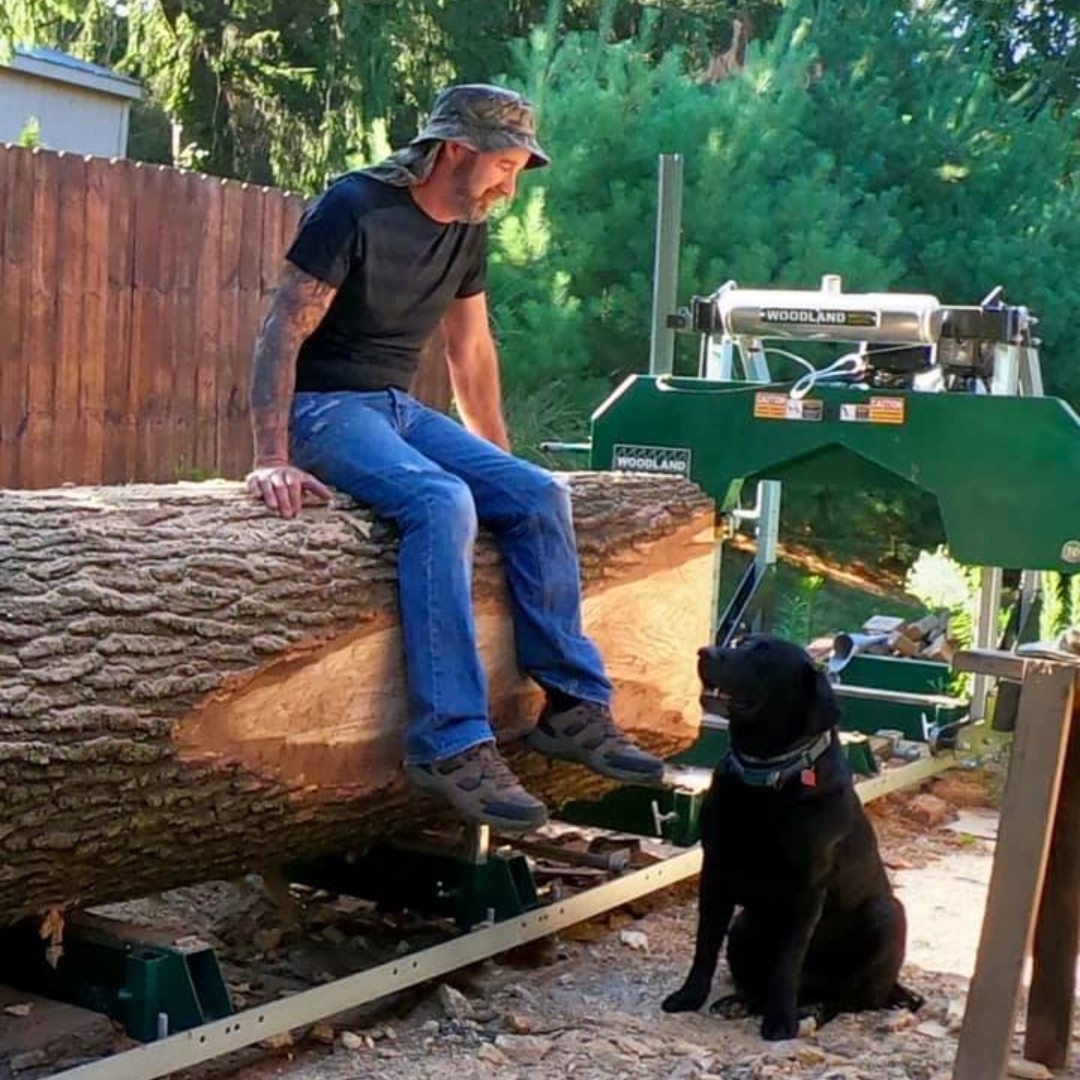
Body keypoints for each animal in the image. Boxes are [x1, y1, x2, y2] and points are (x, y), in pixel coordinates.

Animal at [662, 634, 922, 1040]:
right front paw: (690, 996)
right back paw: (742, 1002)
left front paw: (780, 1021)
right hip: (744, 926)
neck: (766, 776)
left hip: (887, 916)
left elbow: (787, 961)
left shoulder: (806, 891)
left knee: (846, 999)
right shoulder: (716, 872)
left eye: (763, 654)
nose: (704, 652)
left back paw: (810, 1009)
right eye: (741, 642)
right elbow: (705, 944)